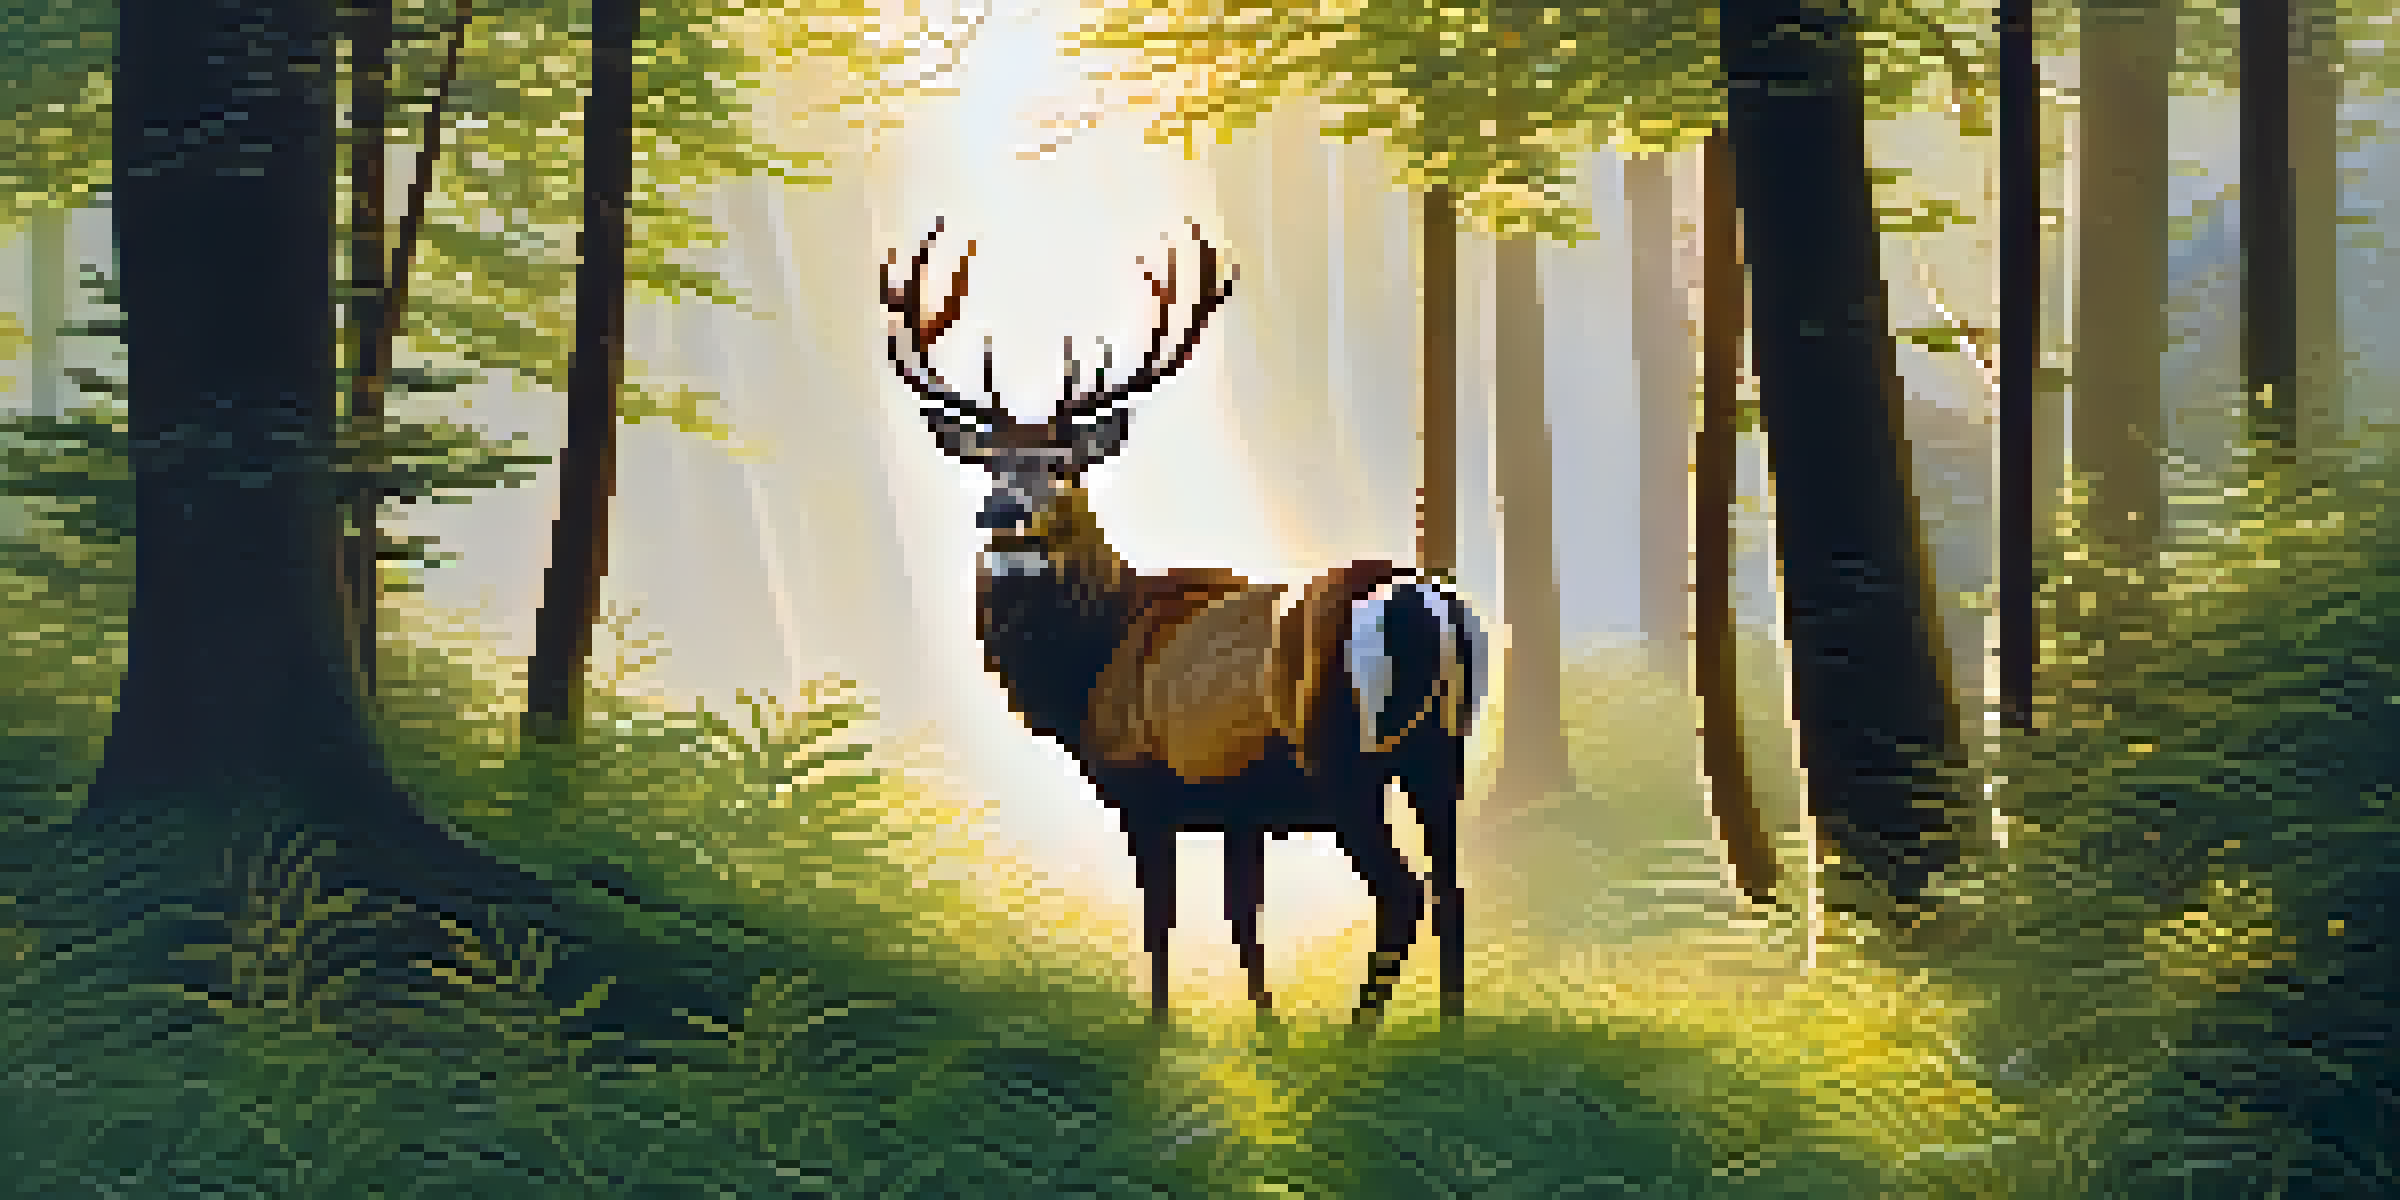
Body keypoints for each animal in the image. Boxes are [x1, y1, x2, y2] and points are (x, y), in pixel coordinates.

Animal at [881, 219, 1483, 1030]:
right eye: (989, 464)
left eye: (1064, 467)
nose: (1000, 513)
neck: (1089, 667)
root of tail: (1422, 601)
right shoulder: (1238, 806)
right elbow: (1241, 918)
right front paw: (1267, 1028)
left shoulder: (1147, 785)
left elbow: (1160, 918)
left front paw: (1161, 1027)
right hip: (1442, 749)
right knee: (1452, 889)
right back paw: (1450, 1031)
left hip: (1342, 759)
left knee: (1403, 893)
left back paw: (1358, 1037)